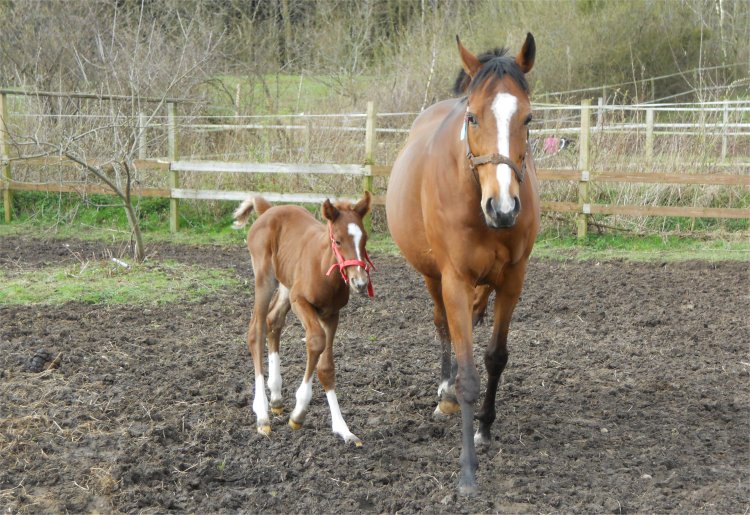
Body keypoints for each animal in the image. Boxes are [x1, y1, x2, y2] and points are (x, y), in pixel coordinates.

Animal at [234, 194, 374, 448]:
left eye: (364, 239)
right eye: (338, 241)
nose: (359, 283)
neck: (323, 267)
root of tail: (267, 209)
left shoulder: (332, 314)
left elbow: (327, 367)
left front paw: (344, 429)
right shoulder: (300, 300)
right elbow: (316, 341)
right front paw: (299, 412)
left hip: (285, 285)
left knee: (273, 321)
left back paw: (276, 396)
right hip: (265, 279)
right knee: (256, 331)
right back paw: (262, 414)